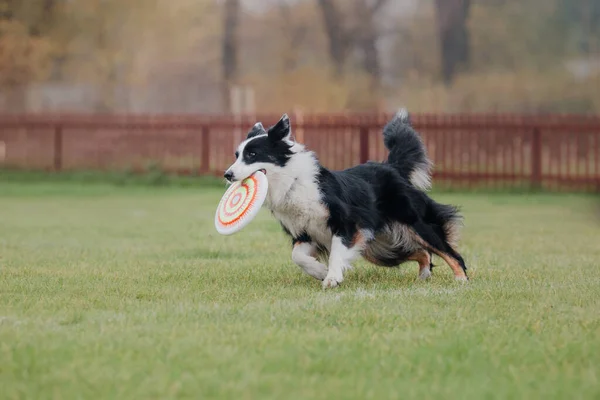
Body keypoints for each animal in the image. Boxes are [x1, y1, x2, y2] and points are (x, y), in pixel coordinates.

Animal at [225, 109, 468, 288]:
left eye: (252, 155)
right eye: (236, 156)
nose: (227, 174)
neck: (293, 183)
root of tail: (391, 167)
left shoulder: (347, 224)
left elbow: (336, 253)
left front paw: (332, 277)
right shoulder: (305, 233)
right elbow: (297, 256)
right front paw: (319, 271)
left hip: (415, 223)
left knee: (449, 252)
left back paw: (461, 281)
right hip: (379, 247)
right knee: (422, 252)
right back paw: (424, 276)